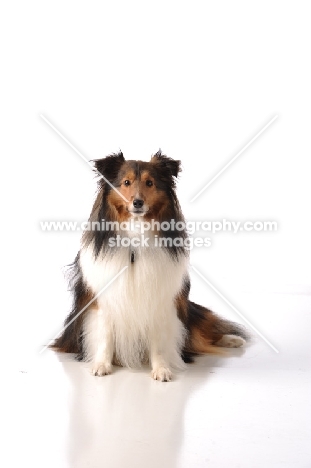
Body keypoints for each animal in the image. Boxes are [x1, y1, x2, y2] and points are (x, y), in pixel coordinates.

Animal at [52, 150, 250, 380]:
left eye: (150, 183)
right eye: (126, 182)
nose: (138, 202)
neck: (136, 239)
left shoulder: (160, 300)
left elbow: (160, 342)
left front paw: (161, 369)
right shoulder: (103, 300)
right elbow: (105, 336)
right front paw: (101, 365)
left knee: (201, 331)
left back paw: (232, 339)